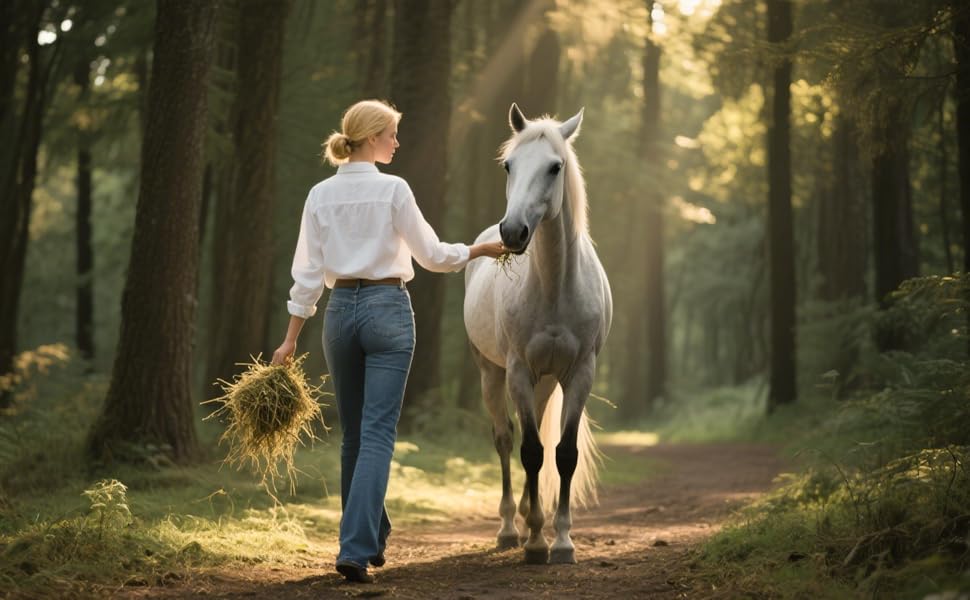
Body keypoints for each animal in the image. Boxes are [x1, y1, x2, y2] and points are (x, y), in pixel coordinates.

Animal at [463, 103, 613, 564]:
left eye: (555, 167)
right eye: (509, 165)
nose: (512, 232)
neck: (554, 287)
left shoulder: (580, 374)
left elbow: (563, 455)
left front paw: (561, 541)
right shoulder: (516, 372)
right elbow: (530, 451)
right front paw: (533, 543)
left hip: (545, 382)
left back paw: (536, 519)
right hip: (492, 374)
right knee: (506, 440)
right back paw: (512, 528)